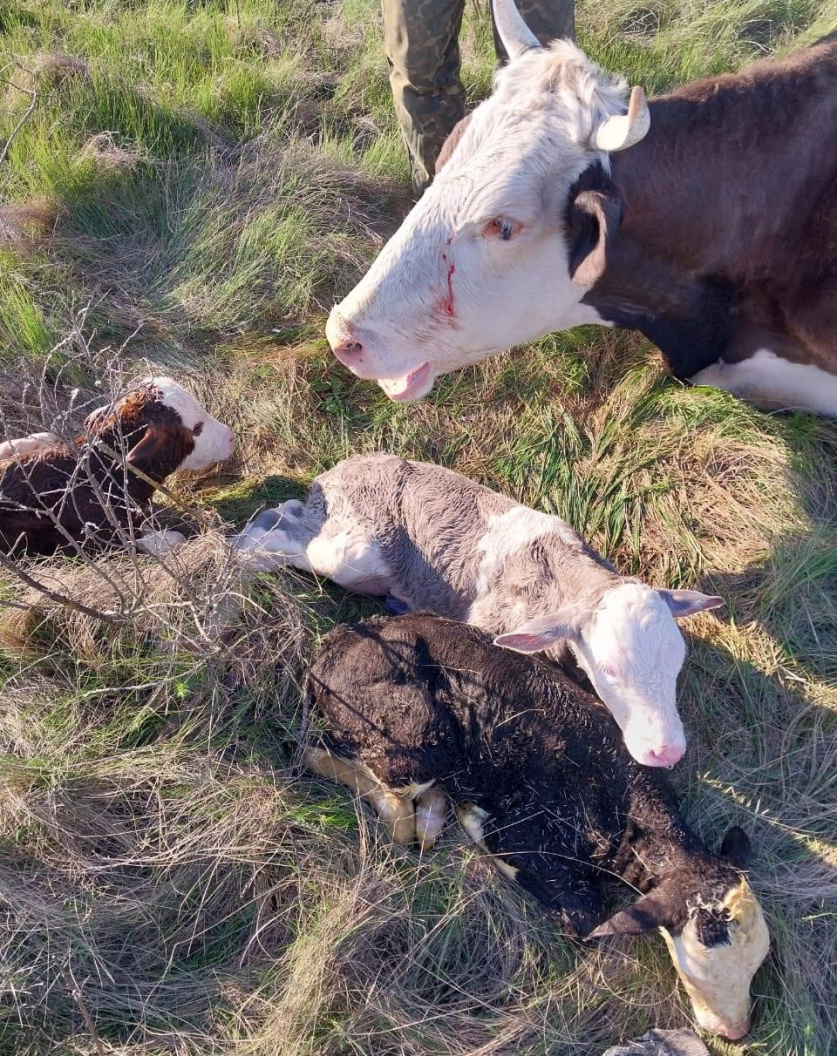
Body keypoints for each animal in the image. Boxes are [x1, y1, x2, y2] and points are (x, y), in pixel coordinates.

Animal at [232, 454, 721, 768]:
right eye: (610, 670)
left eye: (676, 667)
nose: (668, 752)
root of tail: (335, 473)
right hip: (349, 551)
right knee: (283, 524)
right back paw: (238, 555)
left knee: (289, 511)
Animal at [306, 616, 772, 1043]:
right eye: (706, 942)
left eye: (757, 960)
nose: (737, 1033)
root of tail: (338, 639)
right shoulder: (525, 835)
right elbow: (585, 916)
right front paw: (473, 820)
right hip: (417, 738)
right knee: (334, 764)